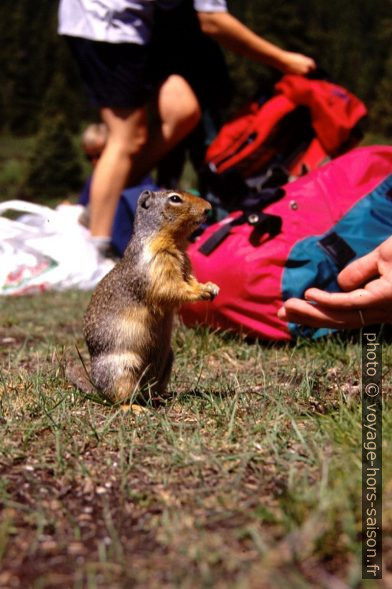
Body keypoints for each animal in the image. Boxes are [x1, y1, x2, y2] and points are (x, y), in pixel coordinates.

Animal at [68, 189, 219, 404]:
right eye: (175, 198)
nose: (209, 208)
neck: (175, 243)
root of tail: (96, 387)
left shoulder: (184, 267)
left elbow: (190, 280)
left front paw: (211, 286)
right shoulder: (157, 267)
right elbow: (172, 289)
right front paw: (202, 292)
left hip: (168, 358)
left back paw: (162, 397)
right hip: (122, 369)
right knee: (119, 399)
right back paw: (135, 406)